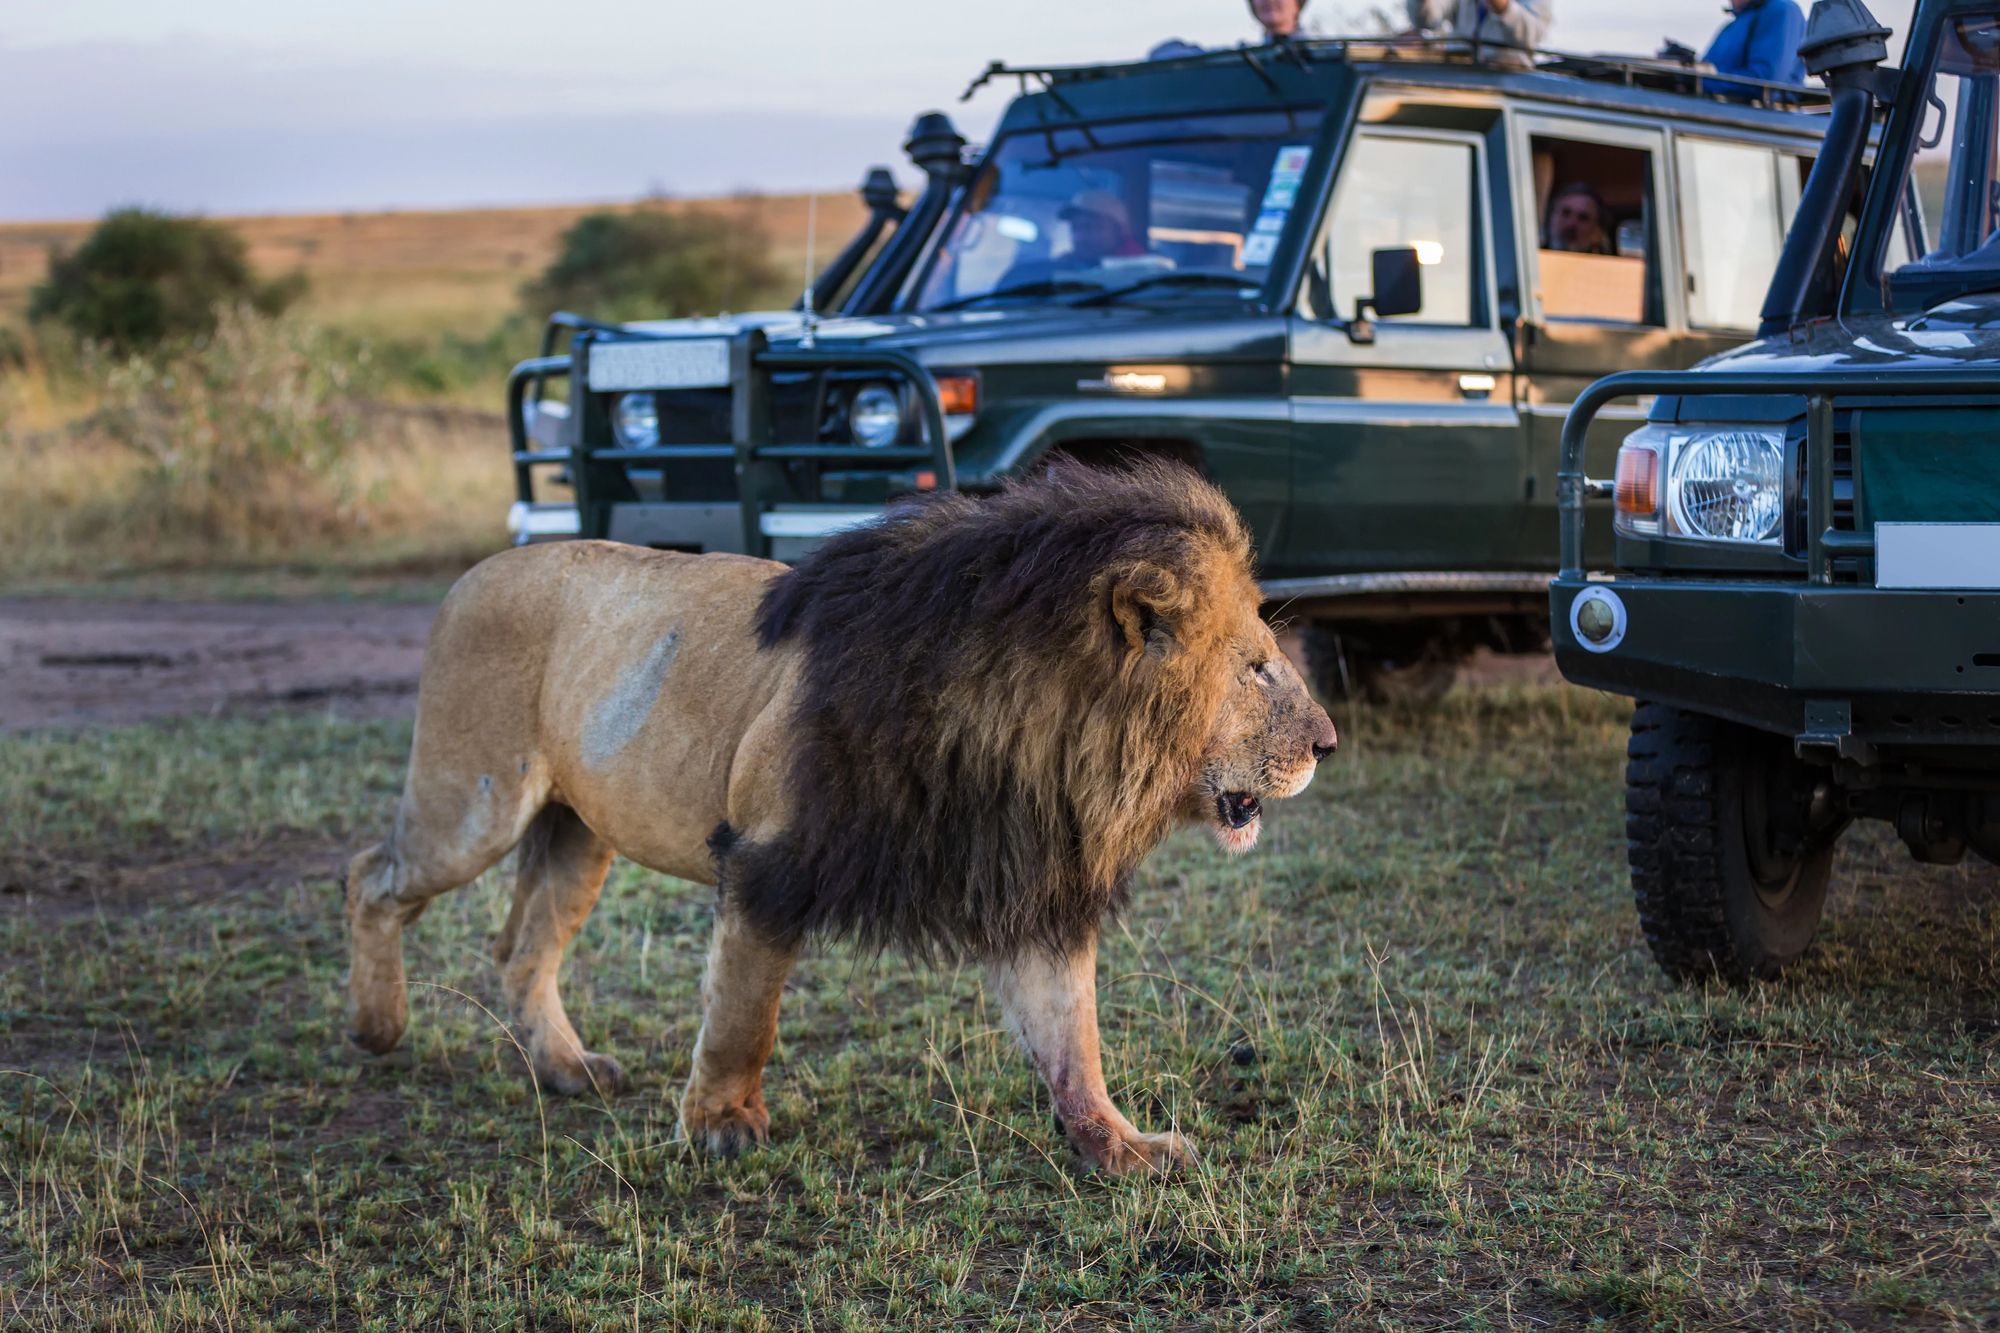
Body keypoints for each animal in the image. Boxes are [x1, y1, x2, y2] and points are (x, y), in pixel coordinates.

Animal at [344, 461, 1337, 1174]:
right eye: (1256, 667)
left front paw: (1118, 1145)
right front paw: (719, 1125)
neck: (1041, 738)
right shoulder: (767, 861)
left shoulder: (1029, 885)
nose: (1328, 743)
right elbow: (744, 1013)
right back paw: (377, 1026)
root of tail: (476, 570)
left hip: (576, 831)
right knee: (370, 876)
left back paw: (564, 1068)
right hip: (473, 801)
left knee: (521, 947)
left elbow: (1072, 1038)